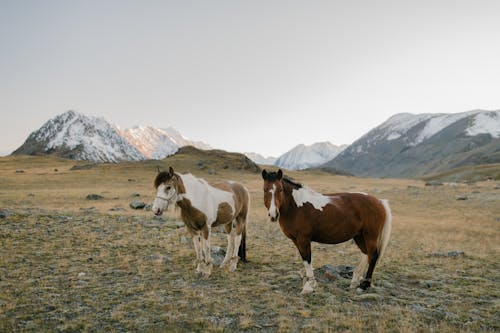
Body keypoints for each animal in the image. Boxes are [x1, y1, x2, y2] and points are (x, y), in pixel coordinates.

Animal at [262, 169, 390, 294]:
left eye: (280, 190)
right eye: (265, 189)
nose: (273, 215)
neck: (296, 207)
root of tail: (379, 202)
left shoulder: (303, 239)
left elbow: (307, 259)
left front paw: (309, 287)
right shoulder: (296, 240)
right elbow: (305, 260)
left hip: (370, 235)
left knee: (373, 256)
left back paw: (364, 285)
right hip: (359, 236)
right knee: (366, 253)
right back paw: (354, 283)